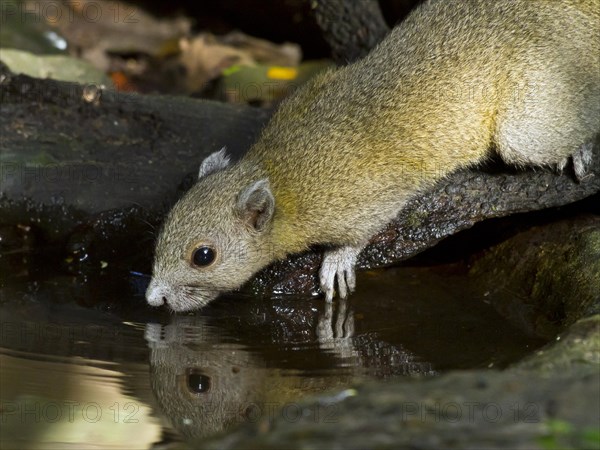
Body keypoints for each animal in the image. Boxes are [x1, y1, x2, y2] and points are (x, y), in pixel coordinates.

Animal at [146, 0, 600, 312]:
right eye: (163, 226)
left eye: (203, 257)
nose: (152, 299)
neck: (282, 174)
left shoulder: (362, 200)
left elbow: (360, 234)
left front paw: (337, 261)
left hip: (527, 123)